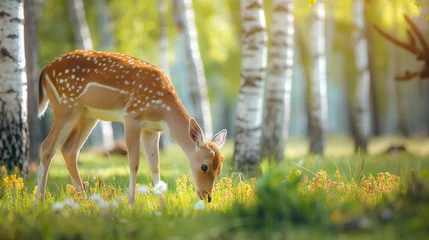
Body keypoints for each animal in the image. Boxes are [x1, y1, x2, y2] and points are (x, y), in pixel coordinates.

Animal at [34, 50, 226, 206]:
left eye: (220, 168)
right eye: (204, 166)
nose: (207, 196)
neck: (163, 111)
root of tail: (44, 71)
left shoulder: (152, 129)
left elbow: (155, 165)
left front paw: (162, 205)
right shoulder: (132, 117)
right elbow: (134, 162)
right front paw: (131, 203)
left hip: (87, 114)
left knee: (69, 149)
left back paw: (85, 202)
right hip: (65, 105)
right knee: (46, 147)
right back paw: (39, 202)